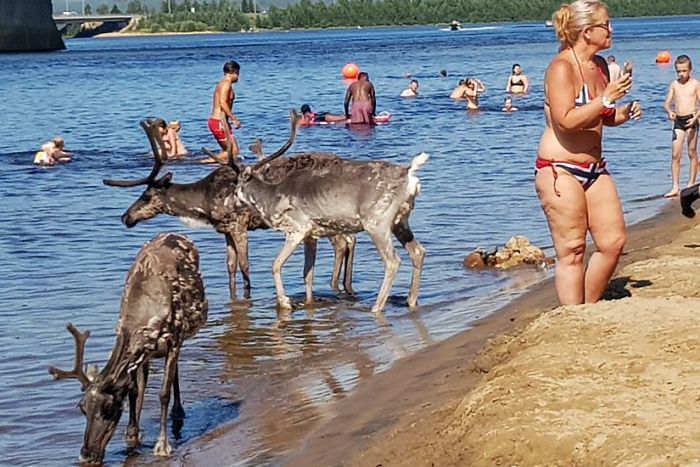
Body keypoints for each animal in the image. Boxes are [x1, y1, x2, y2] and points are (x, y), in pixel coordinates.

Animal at [48, 233, 208, 464]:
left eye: (109, 408)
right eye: (82, 407)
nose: (86, 455)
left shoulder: (173, 340)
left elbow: (163, 393)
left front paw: (162, 445)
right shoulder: (143, 352)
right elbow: (134, 390)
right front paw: (132, 435)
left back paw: (178, 412)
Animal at [103, 115, 355, 302]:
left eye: (146, 195)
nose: (125, 217)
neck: (204, 203)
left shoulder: (239, 225)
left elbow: (245, 267)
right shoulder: (225, 230)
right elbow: (231, 268)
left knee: (342, 243)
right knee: (349, 240)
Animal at [231, 121, 429, 313]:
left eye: (236, 185)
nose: (230, 201)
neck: (270, 199)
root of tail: (409, 174)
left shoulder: (297, 228)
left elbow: (276, 264)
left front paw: (285, 302)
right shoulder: (311, 236)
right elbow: (308, 273)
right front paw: (308, 302)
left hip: (377, 222)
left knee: (392, 261)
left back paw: (376, 307)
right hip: (400, 221)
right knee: (418, 251)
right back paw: (411, 301)